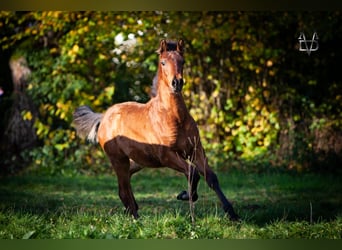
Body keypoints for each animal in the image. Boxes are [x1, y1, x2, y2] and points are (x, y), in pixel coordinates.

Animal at [73, 39, 238, 221]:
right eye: (163, 62)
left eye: (182, 61)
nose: (177, 83)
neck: (175, 118)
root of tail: (104, 116)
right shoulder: (167, 156)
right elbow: (192, 172)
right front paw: (184, 195)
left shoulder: (196, 151)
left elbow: (211, 178)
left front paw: (232, 214)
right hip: (119, 160)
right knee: (123, 189)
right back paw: (136, 219)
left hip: (137, 161)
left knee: (127, 182)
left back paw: (134, 211)